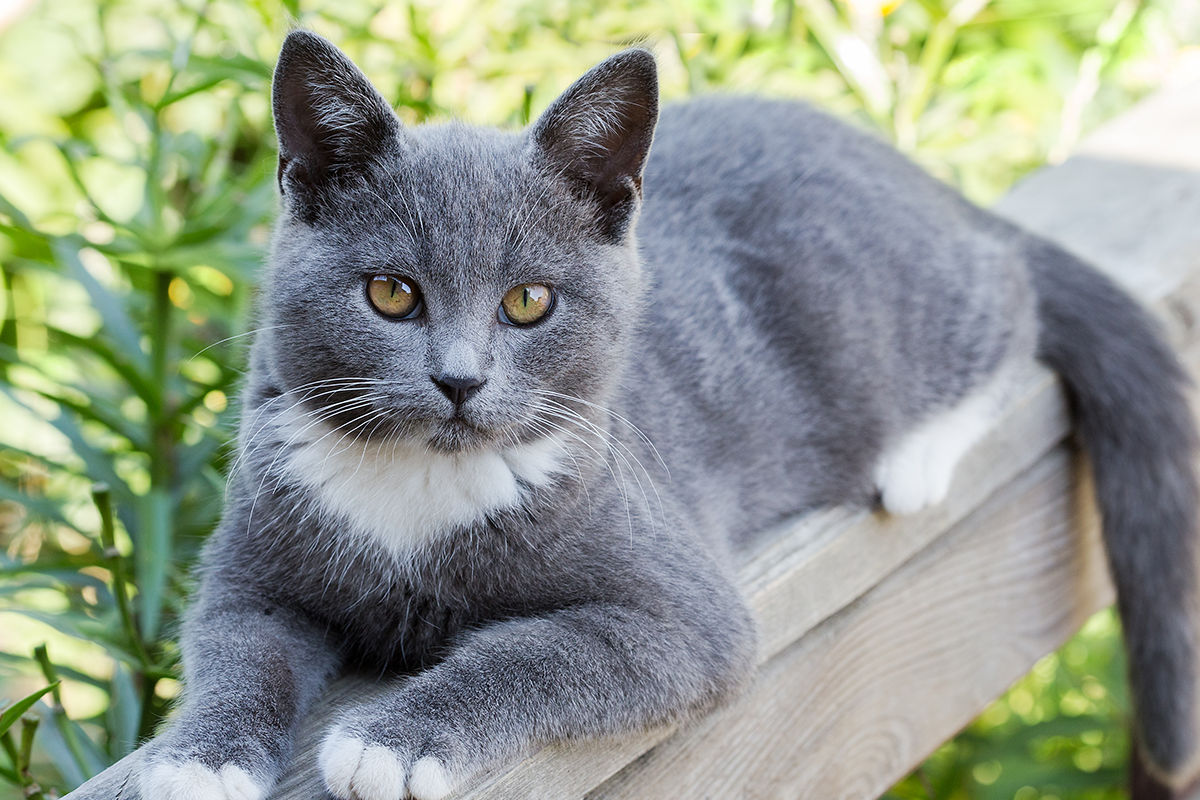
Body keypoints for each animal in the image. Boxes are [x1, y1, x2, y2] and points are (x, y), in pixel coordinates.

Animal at [126, 31, 1195, 800]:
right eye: (391, 294)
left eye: (529, 302)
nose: (460, 381)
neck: (421, 485)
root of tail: (895, 158)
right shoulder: (255, 559)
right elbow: (237, 648)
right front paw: (193, 760)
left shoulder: (680, 610)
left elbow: (535, 651)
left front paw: (388, 741)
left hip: (884, 311)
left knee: (1009, 293)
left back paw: (919, 457)